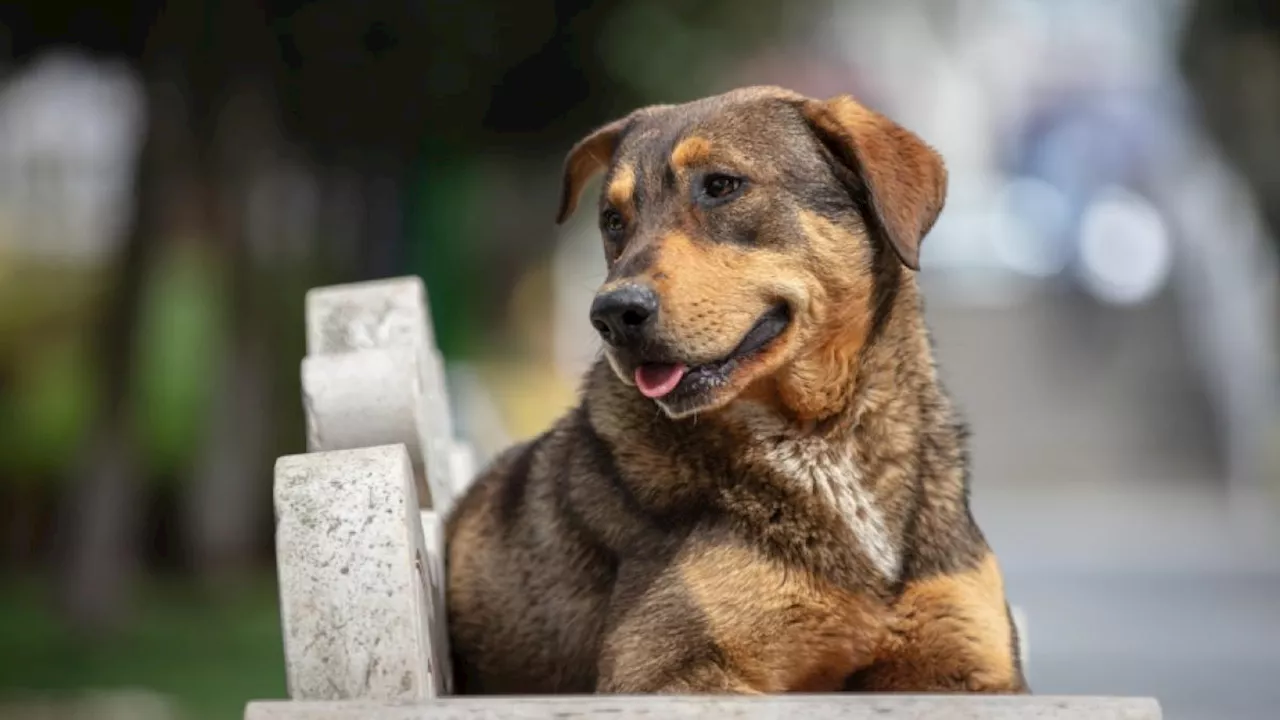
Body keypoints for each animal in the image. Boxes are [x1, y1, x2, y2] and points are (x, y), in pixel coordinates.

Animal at [445, 85, 1024, 696]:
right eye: (612, 219)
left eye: (721, 185)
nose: (611, 314)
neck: (820, 439)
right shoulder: (664, 670)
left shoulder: (971, 665)